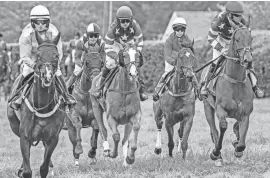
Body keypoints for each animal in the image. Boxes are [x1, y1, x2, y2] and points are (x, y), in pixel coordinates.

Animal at [6, 31, 66, 177]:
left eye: (56, 55)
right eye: (38, 55)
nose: (47, 75)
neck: (42, 106)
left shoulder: (53, 138)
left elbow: (43, 167)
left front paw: (48, 167)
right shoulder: (24, 135)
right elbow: (27, 170)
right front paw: (23, 170)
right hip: (14, 124)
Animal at [200, 26, 255, 167]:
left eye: (251, 39)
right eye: (237, 39)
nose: (248, 61)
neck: (235, 80)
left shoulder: (245, 113)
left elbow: (241, 142)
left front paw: (237, 148)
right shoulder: (220, 108)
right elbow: (223, 127)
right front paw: (215, 153)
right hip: (207, 107)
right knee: (214, 130)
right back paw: (218, 156)